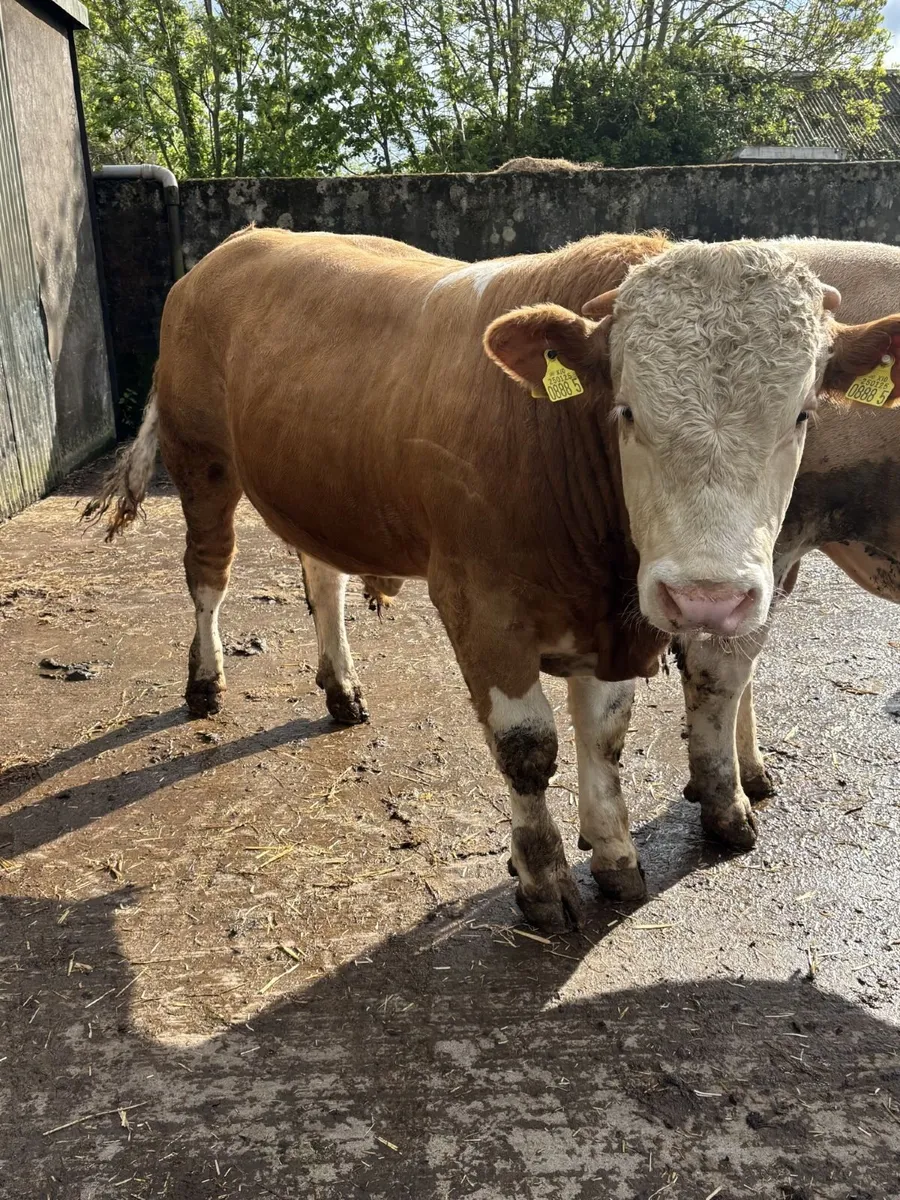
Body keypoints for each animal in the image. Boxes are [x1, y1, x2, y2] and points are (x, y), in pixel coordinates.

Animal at [84, 229, 900, 933]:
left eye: (803, 415)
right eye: (626, 411)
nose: (709, 598)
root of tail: (236, 244)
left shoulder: (613, 618)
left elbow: (604, 736)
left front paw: (614, 854)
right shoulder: (480, 606)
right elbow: (528, 748)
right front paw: (543, 881)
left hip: (317, 490)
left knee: (323, 578)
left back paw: (341, 688)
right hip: (201, 462)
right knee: (207, 576)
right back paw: (205, 681)